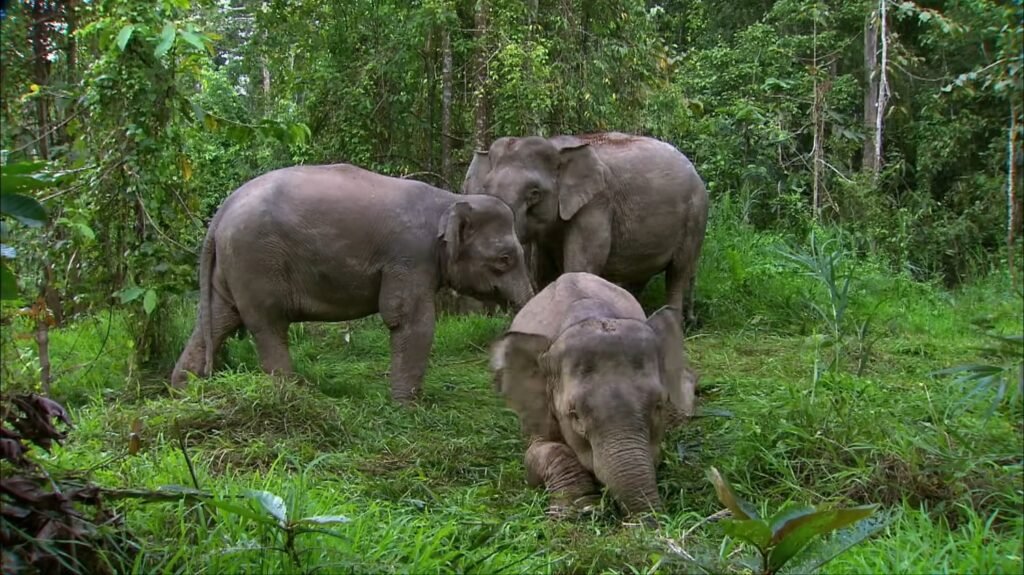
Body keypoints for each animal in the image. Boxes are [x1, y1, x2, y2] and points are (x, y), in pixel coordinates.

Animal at [171, 163, 532, 401]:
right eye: (505, 259)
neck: (449, 200)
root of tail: (221, 212)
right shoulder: (409, 256)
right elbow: (409, 320)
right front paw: (406, 407)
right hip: (257, 261)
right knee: (268, 325)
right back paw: (291, 396)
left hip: (232, 266)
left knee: (217, 320)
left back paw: (183, 391)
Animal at [466, 131, 712, 325]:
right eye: (485, 187)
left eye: (534, 193)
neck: (558, 146)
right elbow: (543, 272)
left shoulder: (597, 204)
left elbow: (580, 266)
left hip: (696, 216)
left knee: (679, 271)